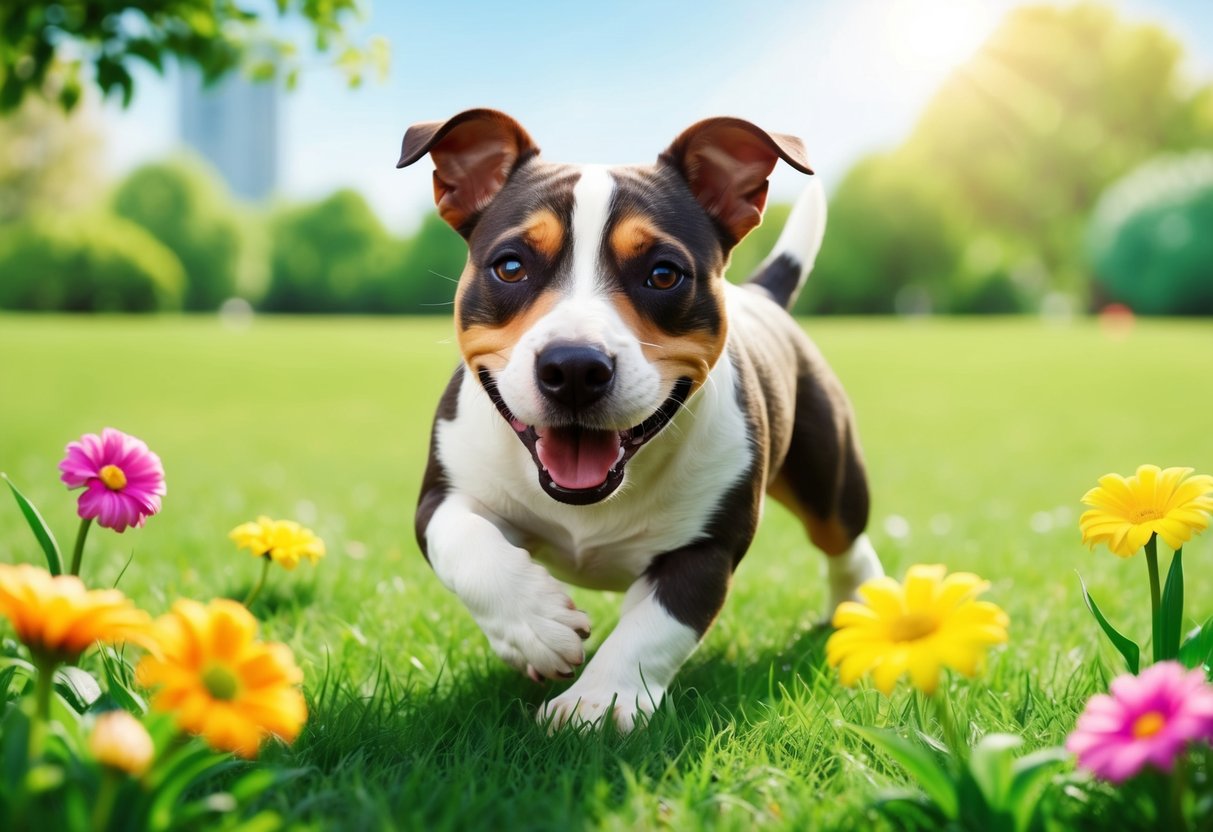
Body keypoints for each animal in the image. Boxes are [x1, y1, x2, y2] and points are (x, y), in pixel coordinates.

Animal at [397, 109, 883, 727]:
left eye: (664, 274)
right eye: (510, 266)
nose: (574, 366)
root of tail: (762, 297)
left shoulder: (705, 550)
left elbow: (654, 628)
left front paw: (595, 705)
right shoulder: (443, 493)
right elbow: (463, 541)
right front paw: (536, 626)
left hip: (829, 474)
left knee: (844, 537)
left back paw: (859, 602)